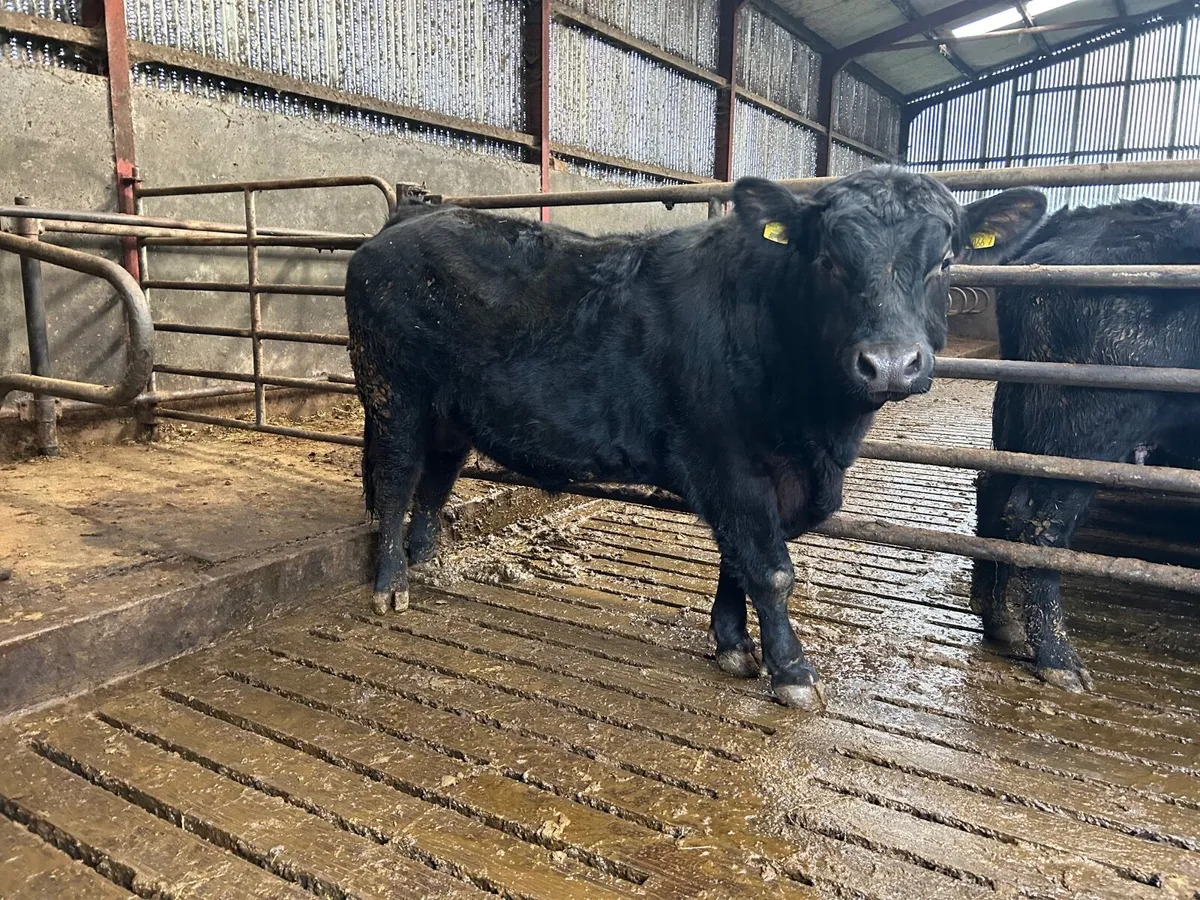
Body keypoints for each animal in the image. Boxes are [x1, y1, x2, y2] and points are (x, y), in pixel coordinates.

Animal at [343, 167, 1042, 709]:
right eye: (828, 260)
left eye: (944, 262)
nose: (891, 363)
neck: (821, 439)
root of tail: (402, 223)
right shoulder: (726, 462)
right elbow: (771, 570)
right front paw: (792, 672)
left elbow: (740, 560)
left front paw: (732, 644)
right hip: (395, 392)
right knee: (398, 479)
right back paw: (392, 585)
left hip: (450, 410)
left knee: (436, 478)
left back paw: (429, 565)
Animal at [971, 196, 1200, 692]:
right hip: (1093, 419)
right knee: (1040, 522)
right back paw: (1059, 660)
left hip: (1019, 402)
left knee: (996, 490)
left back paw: (1000, 620)